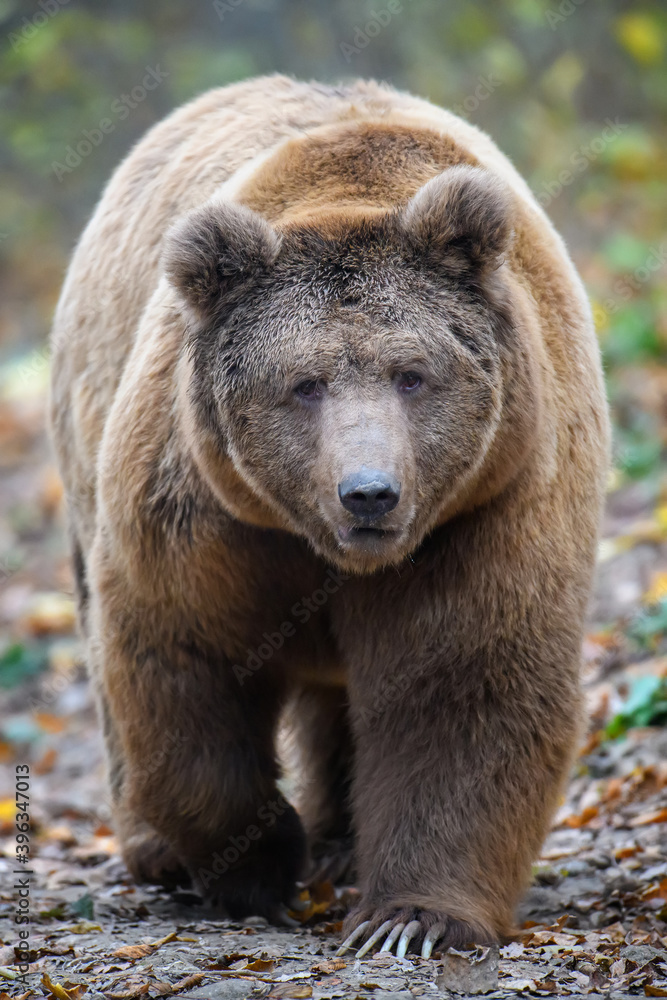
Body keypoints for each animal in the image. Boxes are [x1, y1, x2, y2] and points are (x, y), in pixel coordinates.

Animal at [48, 74, 612, 956]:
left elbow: (461, 681)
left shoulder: (486, 500)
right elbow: (180, 658)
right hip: (89, 421)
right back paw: (159, 851)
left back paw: (343, 842)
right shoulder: (207, 517)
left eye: (412, 373)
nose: (369, 491)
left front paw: (410, 920)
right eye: (303, 384)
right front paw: (256, 863)